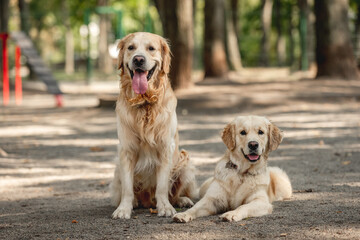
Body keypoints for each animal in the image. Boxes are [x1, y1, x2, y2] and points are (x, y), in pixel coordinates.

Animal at [111, 32, 197, 219]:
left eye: (151, 48)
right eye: (131, 48)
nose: (138, 59)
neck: (145, 103)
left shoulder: (166, 147)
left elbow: (163, 186)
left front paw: (165, 207)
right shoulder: (126, 149)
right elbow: (127, 188)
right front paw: (124, 208)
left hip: (184, 161)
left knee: (175, 193)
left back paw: (182, 200)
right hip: (117, 166)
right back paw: (135, 202)